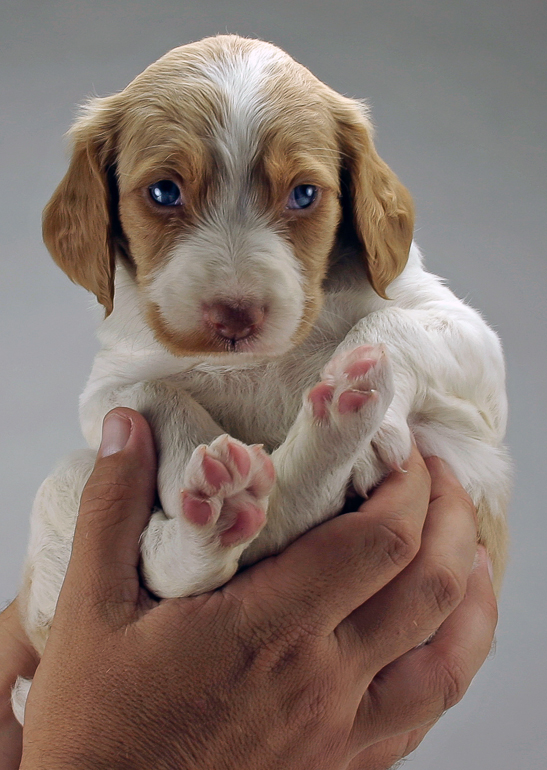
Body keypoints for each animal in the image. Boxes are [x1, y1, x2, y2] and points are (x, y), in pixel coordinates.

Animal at [12, 34, 512, 720]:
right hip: (66, 488)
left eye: (303, 195)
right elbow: (155, 393)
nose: (235, 315)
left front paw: (362, 385)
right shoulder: (110, 387)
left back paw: (342, 408)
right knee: (187, 560)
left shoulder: (466, 338)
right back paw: (224, 503)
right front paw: (206, 470)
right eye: (164, 192)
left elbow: (387, 326)